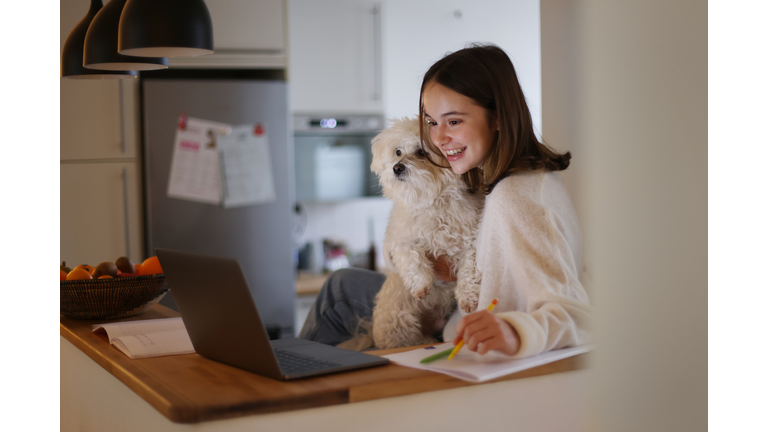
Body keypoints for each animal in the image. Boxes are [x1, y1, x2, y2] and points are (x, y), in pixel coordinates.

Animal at [364, 116, 484, 350]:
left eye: (421, 152)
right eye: (398, 152)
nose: (397, 168)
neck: (434, 201)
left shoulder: (472, 241)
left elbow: (469, 269)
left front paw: (468, 298)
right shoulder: (400, 240)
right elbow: (412, 258)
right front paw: (421, 286)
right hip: (400, 321)